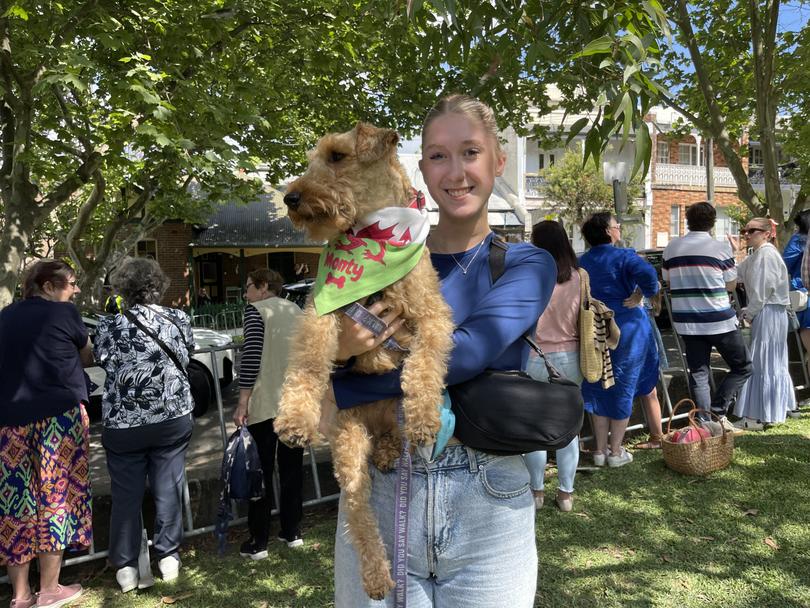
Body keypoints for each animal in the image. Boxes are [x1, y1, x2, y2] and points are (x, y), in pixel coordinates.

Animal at [276, 121, 454, 596]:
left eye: (337, 156)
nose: (291, 198)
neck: (373, 236)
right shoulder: (323, 315)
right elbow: (308, 366)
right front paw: (294, 420)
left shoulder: (432, 316)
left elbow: (425, 365)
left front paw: (425, 418)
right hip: (349, 445)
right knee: (359, 515)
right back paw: (378, 577)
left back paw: (394, 448)